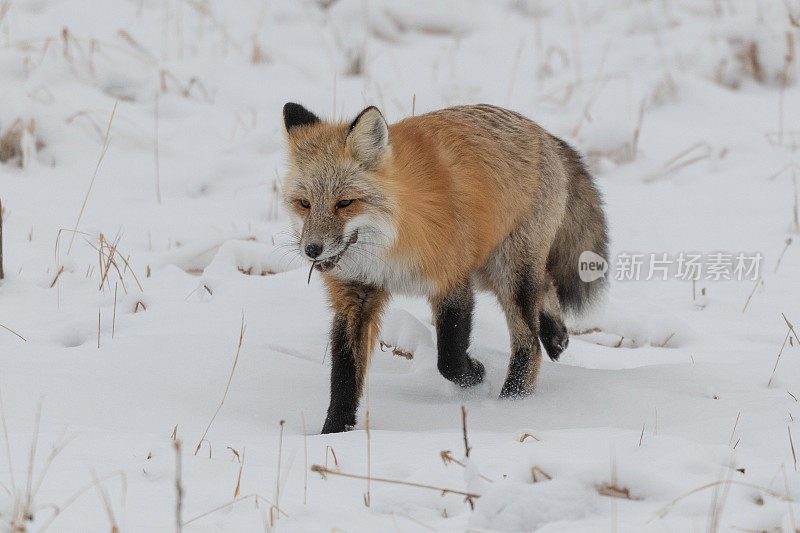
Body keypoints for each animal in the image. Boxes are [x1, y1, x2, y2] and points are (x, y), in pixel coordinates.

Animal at [282, 103, 608, 432]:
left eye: (345, 203)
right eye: (304, 203)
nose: (312, 250)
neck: (390, 248)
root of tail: (541, 131)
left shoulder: (452, 279)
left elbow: (449, 358)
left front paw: (476, 374)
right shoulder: (355, 296)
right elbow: (344, 375)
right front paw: (335, 431)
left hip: (507, 271)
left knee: (529, 343)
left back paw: (512, 402)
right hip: (488, 269)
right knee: (547, 284)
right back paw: (556, 336)